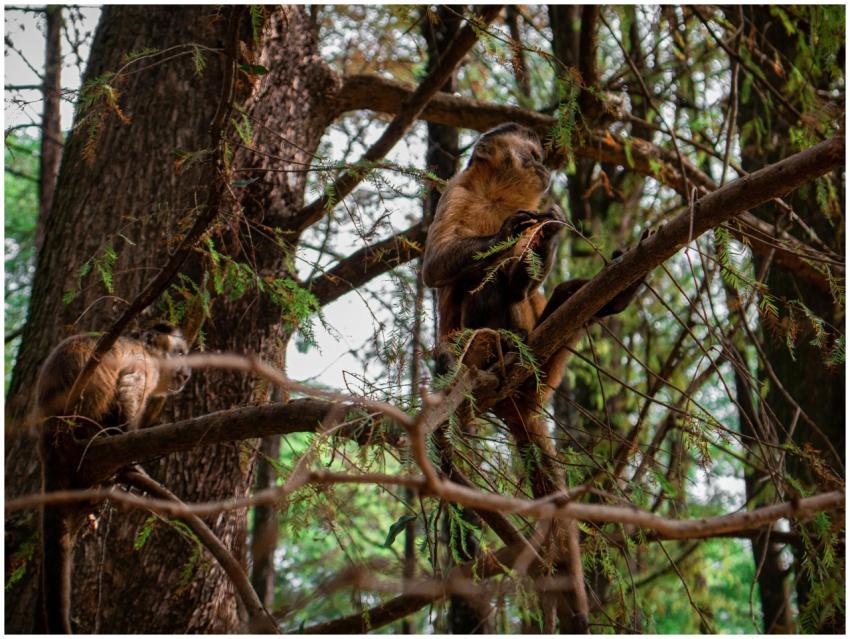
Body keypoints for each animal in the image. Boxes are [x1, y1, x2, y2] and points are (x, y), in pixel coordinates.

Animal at [34, 321, 191, 634]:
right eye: (179, 353)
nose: (187, 373)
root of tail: (50, 435)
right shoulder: (142, 364)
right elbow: (128, 388)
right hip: (84, 412)